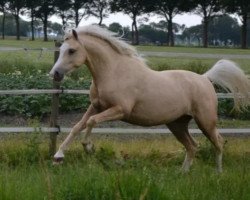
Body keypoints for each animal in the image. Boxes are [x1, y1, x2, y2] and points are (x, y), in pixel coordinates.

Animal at [49, 25, 250, 172]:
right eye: (62, 49)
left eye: (72, 50)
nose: (55, 74)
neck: (113, 72)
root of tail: (204, 78)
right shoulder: (96, 106)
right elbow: (77, 126)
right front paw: (58, 156)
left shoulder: (120, 110)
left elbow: (91, 122)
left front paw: (89, 147)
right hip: (177, 124)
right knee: (192, 146)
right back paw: (182, 173)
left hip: (205, 121)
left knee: (218, 142)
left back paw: (218, 173)